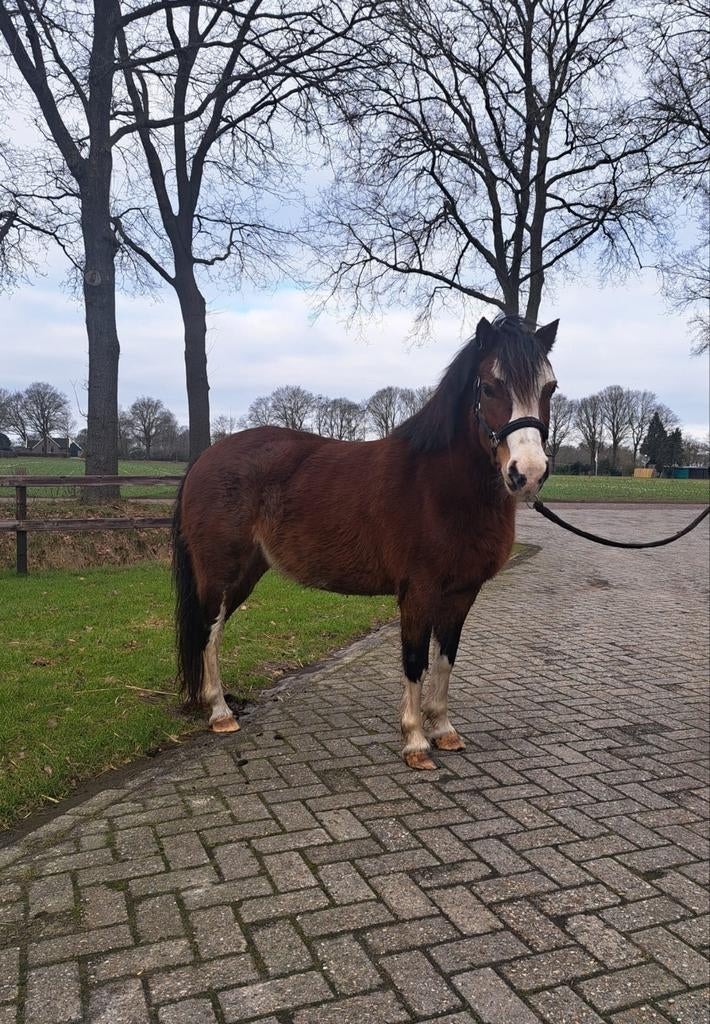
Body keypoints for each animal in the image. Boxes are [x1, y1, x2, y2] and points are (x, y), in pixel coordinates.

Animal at [172, 314, 558, 769]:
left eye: (550, 388)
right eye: (490, 386)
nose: (527, 473)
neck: (440, 486)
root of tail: (205, 459)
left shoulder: (463, 592)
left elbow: (445, 659)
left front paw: (443, 729)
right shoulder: (418, 592)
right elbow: (415, 661)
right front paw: (415, 742)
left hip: (247, 573)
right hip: (220, 574)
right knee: (209, 633)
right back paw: (220, 713)